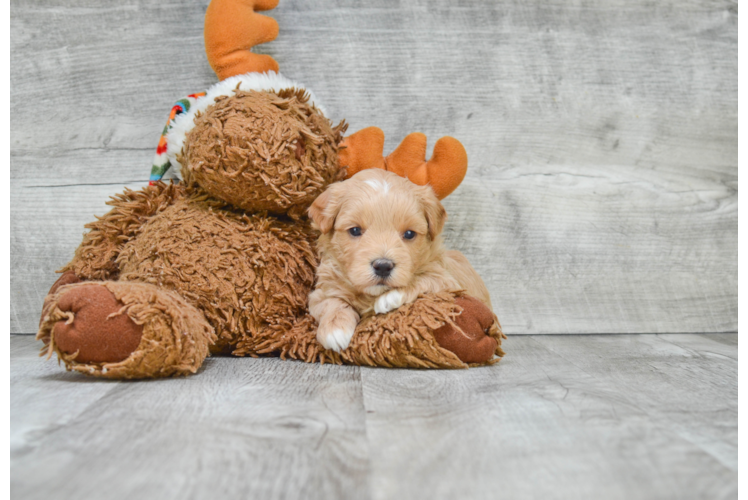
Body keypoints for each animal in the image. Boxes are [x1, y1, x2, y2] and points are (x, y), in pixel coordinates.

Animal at [306, 168, 494, 352]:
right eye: (355, 230)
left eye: (409, 234)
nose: (383, 266)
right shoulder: (321, 292)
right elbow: (331, 302)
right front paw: (335, 330)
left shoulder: (449, 282)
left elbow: (426, 279)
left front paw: (390, 297)